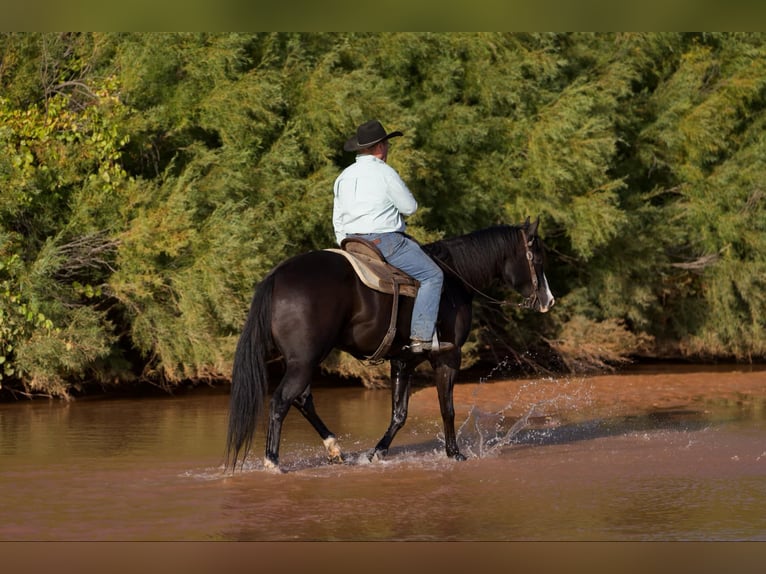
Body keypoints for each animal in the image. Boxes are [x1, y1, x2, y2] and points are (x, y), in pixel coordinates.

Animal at [225, 218, 555, 472]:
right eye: (537, 258)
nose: (548, 301)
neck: (454, 280)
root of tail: (277, 277)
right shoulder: (448, 357)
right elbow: (446, 408)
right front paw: (455, 453)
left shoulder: (403, 360)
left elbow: (399, 413)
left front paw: (377, 453)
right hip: (303, 361)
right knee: (282, 400)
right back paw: (272, 462)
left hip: (302, 360)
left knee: (302, 399)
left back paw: (335, 450)